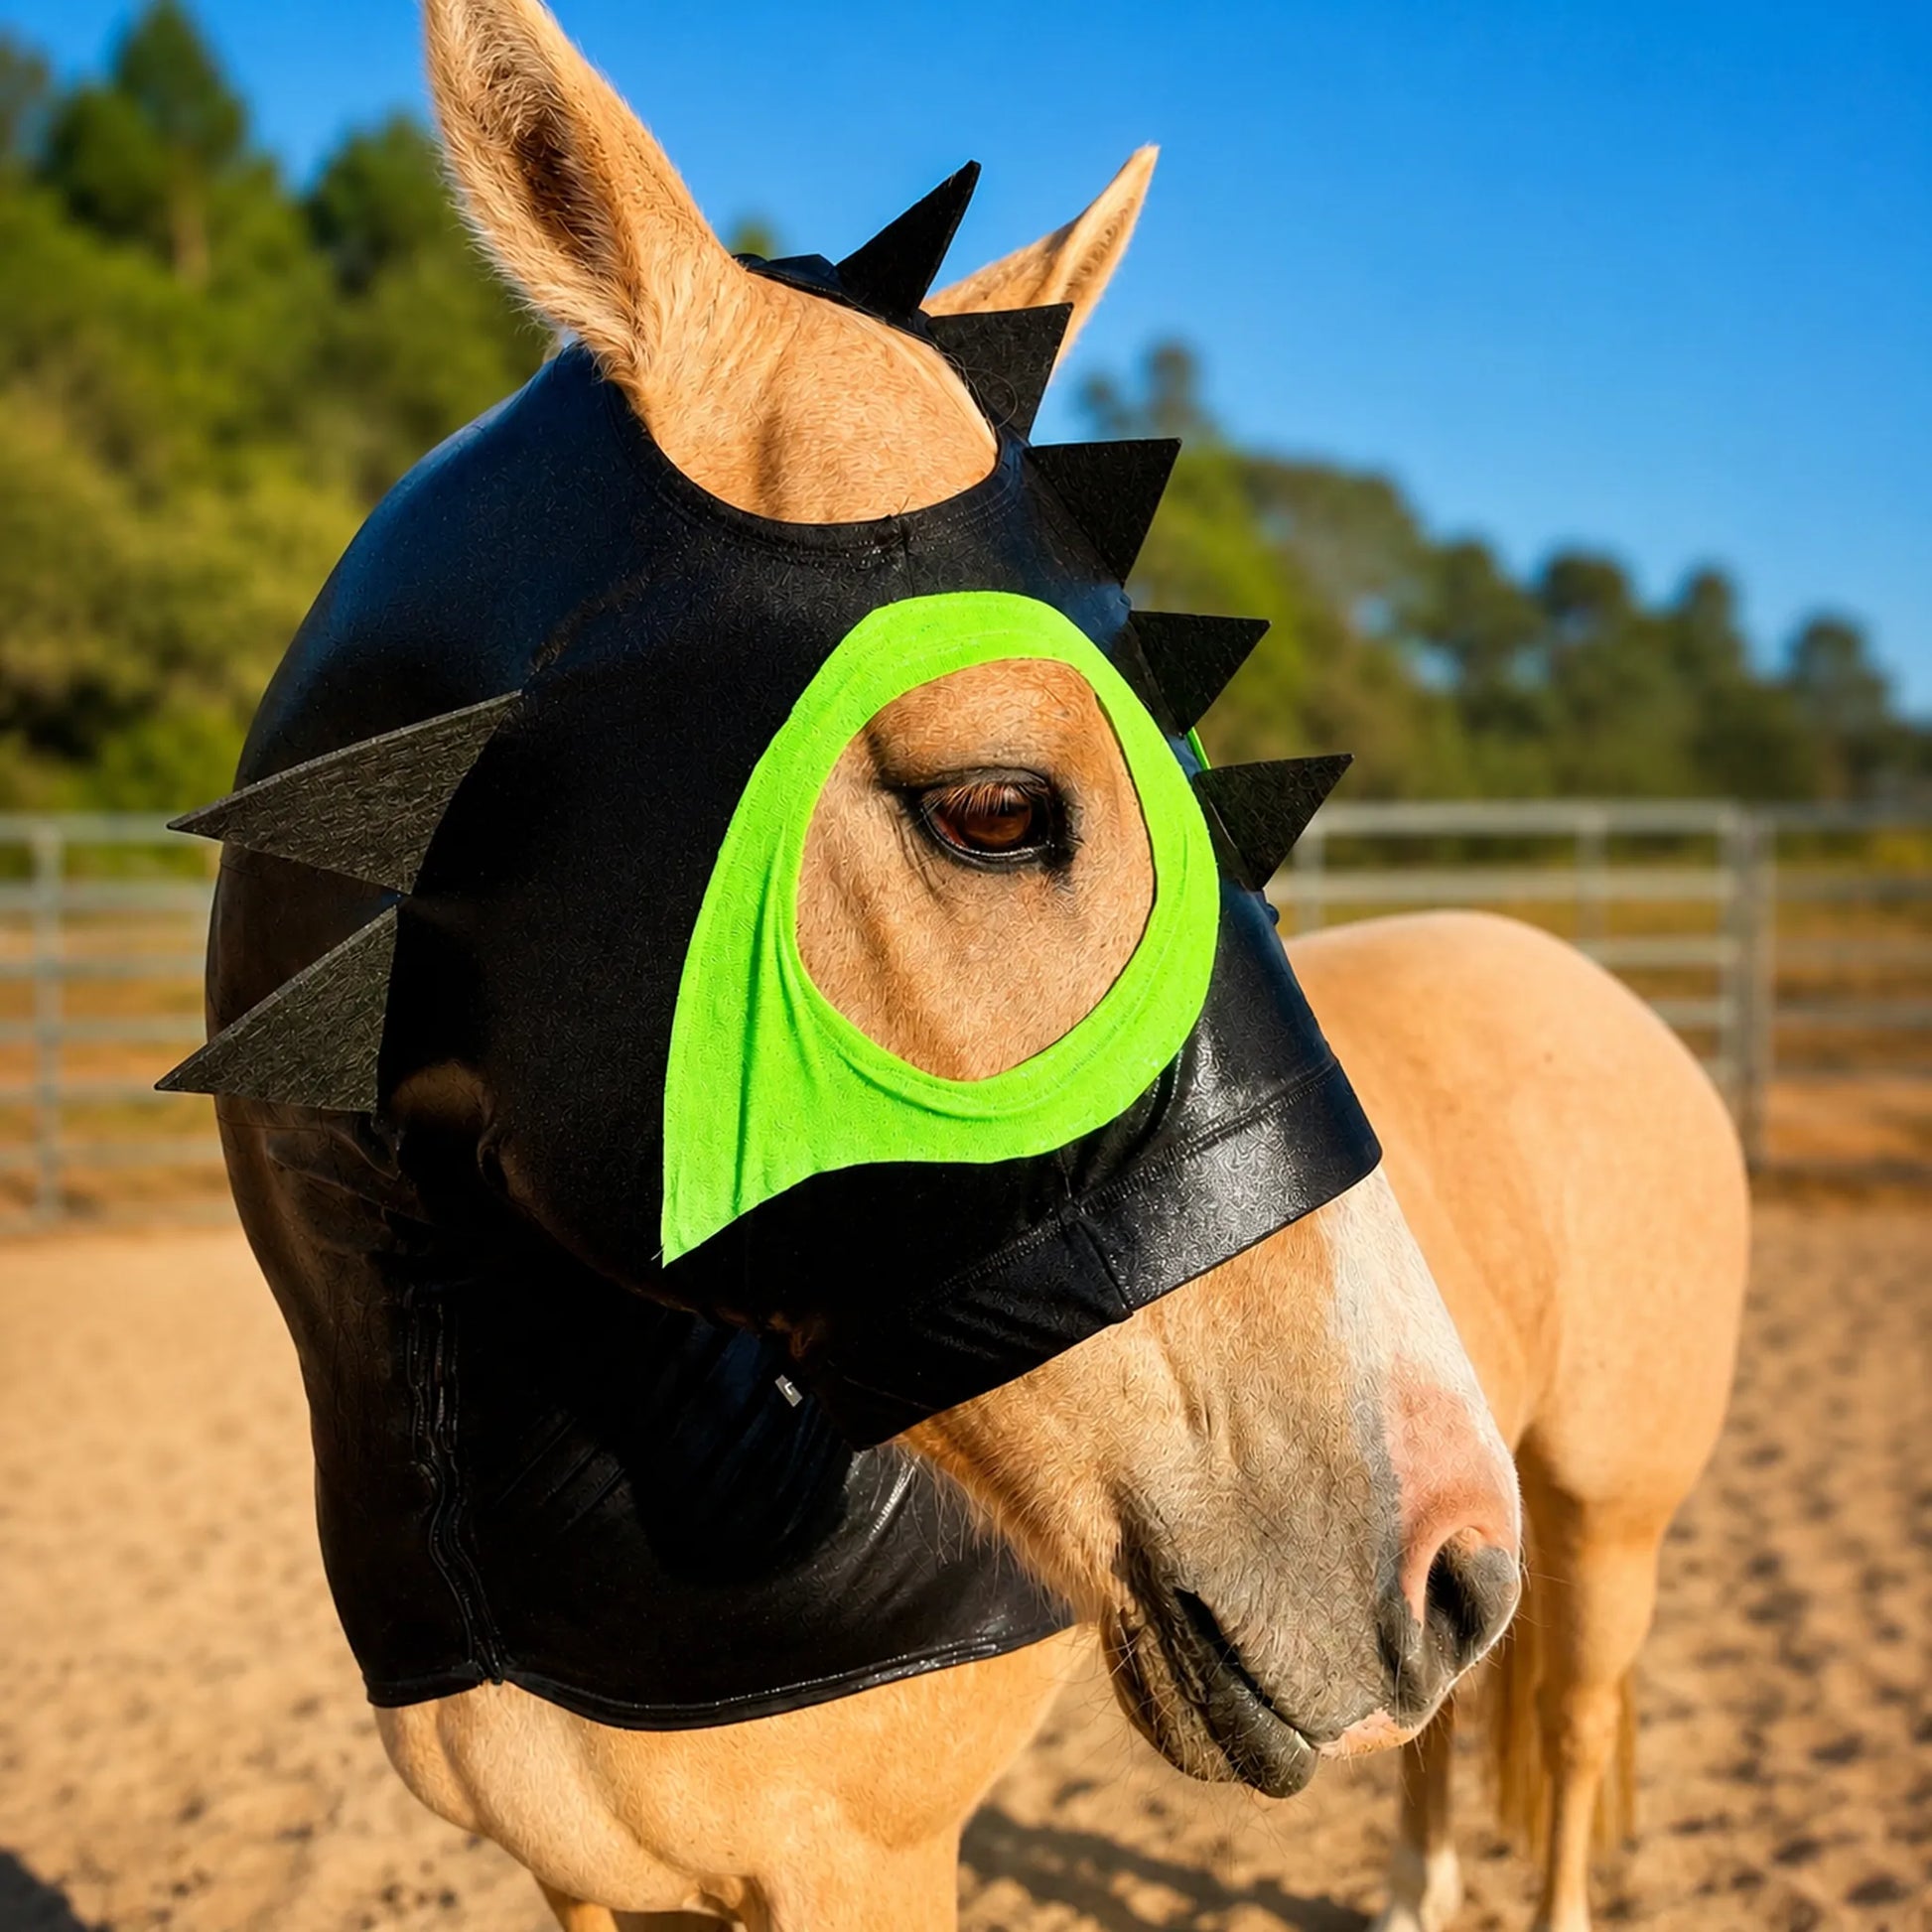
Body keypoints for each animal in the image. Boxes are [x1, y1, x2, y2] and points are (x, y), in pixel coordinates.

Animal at [202, 4, 1747, 1929]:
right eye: (998, 806)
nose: (1446, 1556)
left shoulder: (862, 1867)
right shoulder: (578, 1884)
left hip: (1607, 1517)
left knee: (1574, 1735)